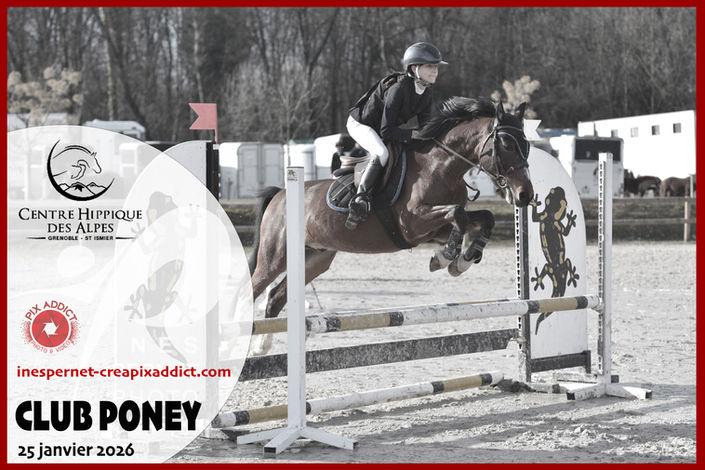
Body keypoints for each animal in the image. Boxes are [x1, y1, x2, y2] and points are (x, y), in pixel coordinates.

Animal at [247, 97, 534, 355]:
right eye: (507, 144)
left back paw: (262, 347)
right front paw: (445, 258)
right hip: (275, 257)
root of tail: (279, 194)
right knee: (254, 289)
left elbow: (481, 217)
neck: (441, 167)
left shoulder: (434, 230)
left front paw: (463, 258)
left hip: (314, 259)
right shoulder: (413, 223)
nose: (525, 195)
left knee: (275, 297)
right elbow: (458, 213)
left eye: (527, 145)